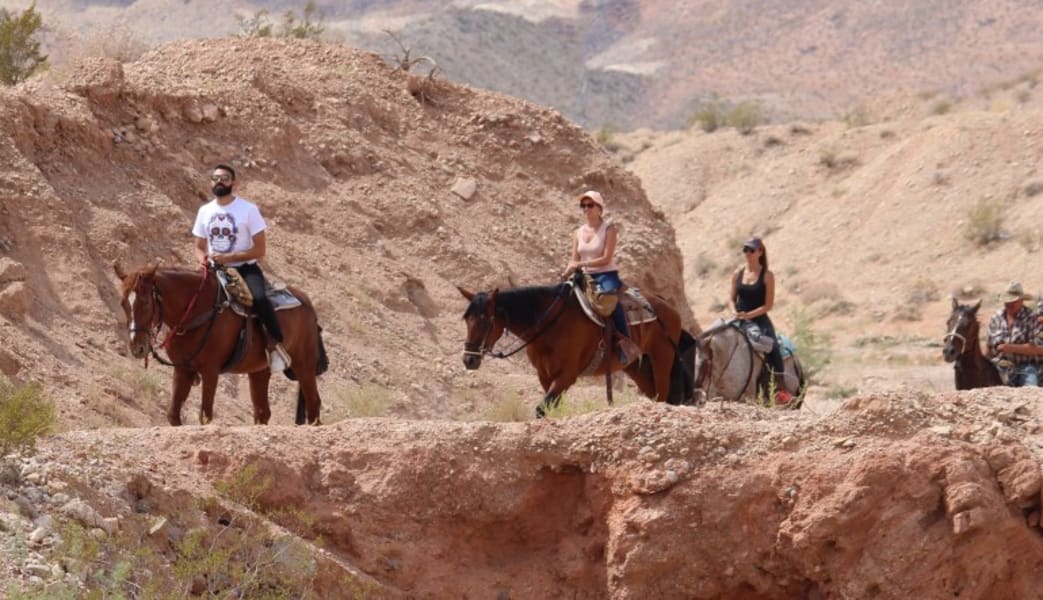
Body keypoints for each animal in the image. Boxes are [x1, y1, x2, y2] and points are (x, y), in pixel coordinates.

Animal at [112, 264, 327, 427]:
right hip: (260, 371)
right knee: (262, 412)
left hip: (304, 365)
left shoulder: (210, 371)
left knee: (314, 403)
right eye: (123, 303)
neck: (197, 312)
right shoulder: (183, 370)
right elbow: (173, 415)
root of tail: (307, 304)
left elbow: (205, 415)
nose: (137, 347)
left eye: (146, 302)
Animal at [456, 273, 692, 417]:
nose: (469, 359)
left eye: (485, 320)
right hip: (639, 368)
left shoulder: (567, 375)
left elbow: (541, 409)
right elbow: (550, 408)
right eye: (466, 319)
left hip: (662, 360)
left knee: (663, 397)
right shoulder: (545, 376)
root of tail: (671, 310)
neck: (551, 324)